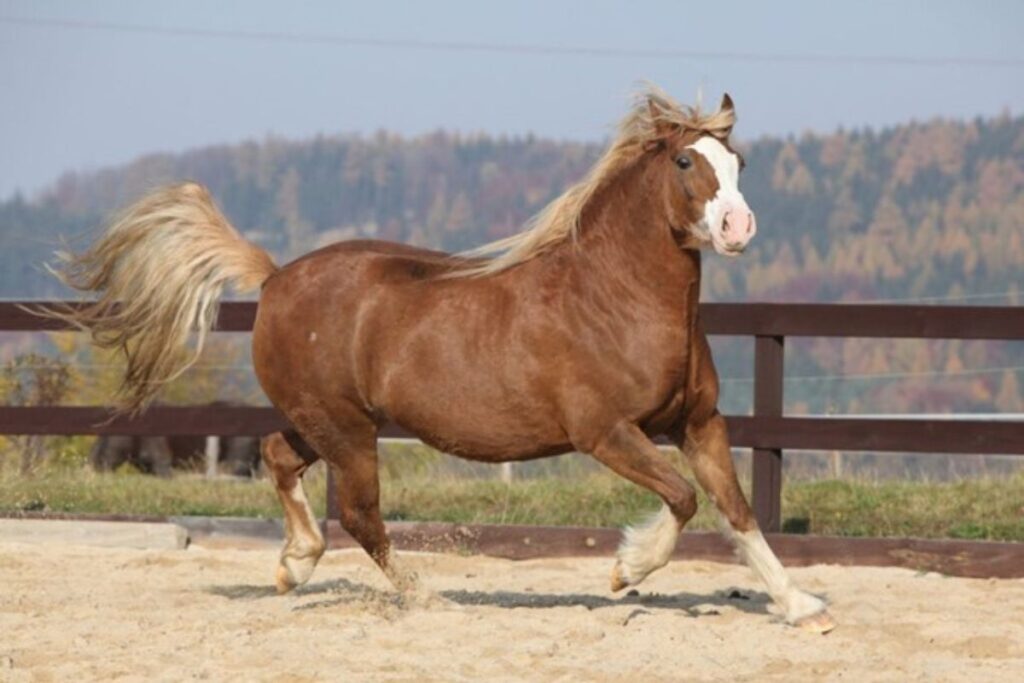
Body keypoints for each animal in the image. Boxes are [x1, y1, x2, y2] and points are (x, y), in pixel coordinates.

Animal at [44, 88, 835, 634]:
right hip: (348, 432)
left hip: (325, 421)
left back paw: (294, 565)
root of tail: (274, 277)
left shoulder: (699, 423)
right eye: (684, 160)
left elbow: (736, 509)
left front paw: (803, 606)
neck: (615, 298)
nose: (738, 227)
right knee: (361, 515)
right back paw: (429, 597)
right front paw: (624, 570)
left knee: (277, 455)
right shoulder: (606, 433)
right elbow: (682, 499)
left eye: (739, 162)